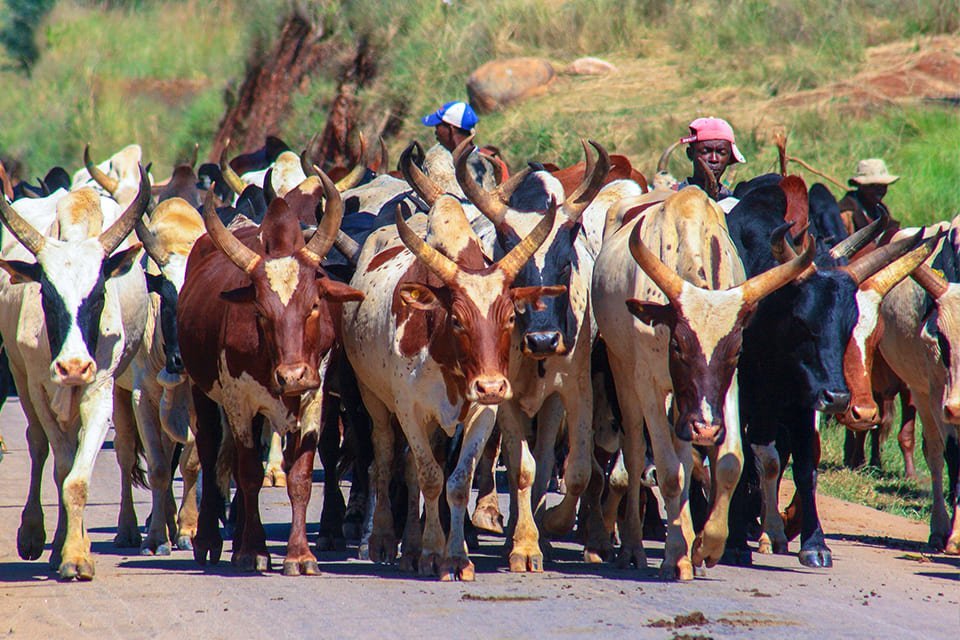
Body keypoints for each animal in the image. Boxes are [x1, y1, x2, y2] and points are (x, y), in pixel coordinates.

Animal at [178, 171, 362, 576]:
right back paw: (212, 540)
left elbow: (301, 476)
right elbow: (248, 473)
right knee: (211, 451)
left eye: (314, 305)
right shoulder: (240, 402)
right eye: (260, 312)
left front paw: (300, 555)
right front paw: (252, 551)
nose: (291, 376)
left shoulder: (314, 398)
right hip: (201, 390)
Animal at [342, 194, 560, 580]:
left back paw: (412, 547)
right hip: (374, 401)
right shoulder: (409, 410)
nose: (491, 385)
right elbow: (429, 478)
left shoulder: (482, 412)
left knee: (412, 468)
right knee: (384, 459)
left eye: (510, 317)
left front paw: (455, 556)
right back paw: (384, 539)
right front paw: (432, 553)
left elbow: (457, 482)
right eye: (457, 319)